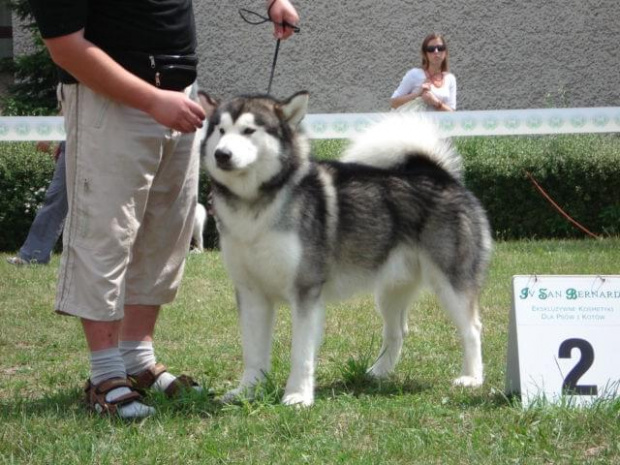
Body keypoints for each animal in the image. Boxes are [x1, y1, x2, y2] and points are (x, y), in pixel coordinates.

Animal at [201, 91, 492, 406]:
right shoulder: (251, 292)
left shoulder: (306, 291)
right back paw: (378, 373)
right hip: (390, 290)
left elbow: (301, 353)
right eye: (220, 130)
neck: (255, 207)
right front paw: (248, 390)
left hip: (451, 284)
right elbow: (253, 351)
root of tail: (439, 173)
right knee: (397, 332)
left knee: (472, 329)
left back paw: (472, 378)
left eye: (249, 130)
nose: (221, 154)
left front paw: (298, 396)